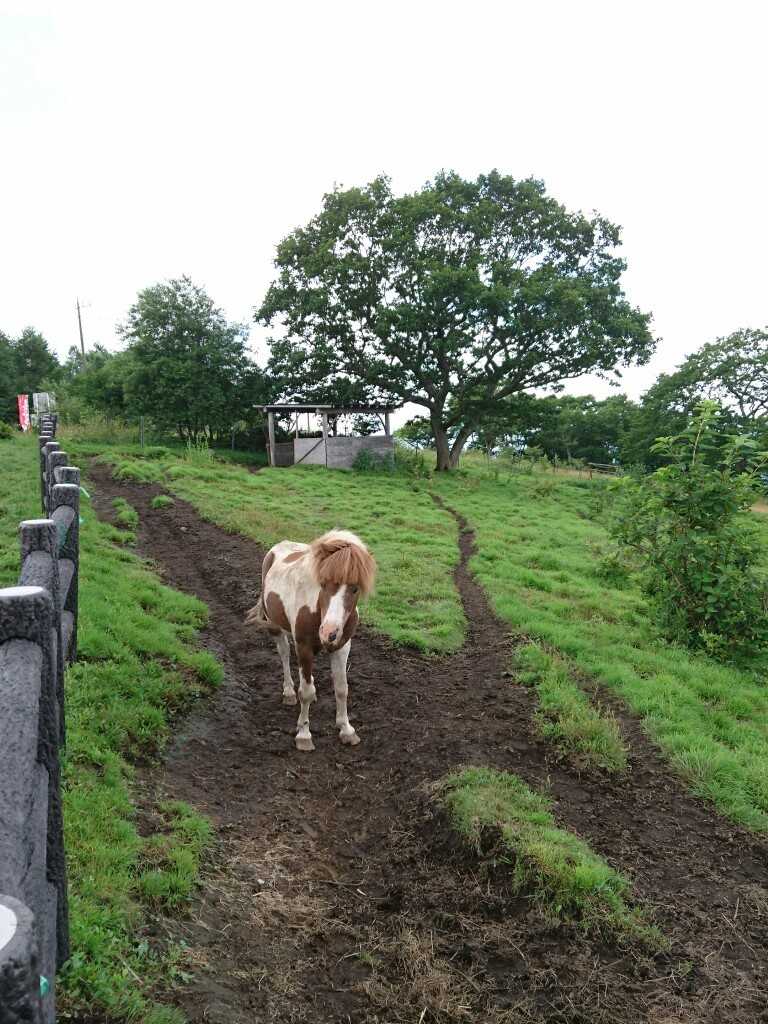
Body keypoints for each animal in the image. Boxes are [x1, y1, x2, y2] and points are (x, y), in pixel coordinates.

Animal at [245, 530, 376, 751]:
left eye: (355, 588)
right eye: (323, 583)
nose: (329, 632)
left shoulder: (342, 647)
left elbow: (342, 688)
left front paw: (346, 730)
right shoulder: (304, 647)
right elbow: (304, 692)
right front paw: (304, 735)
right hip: (276, 627)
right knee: (285, 655)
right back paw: (289, 692)